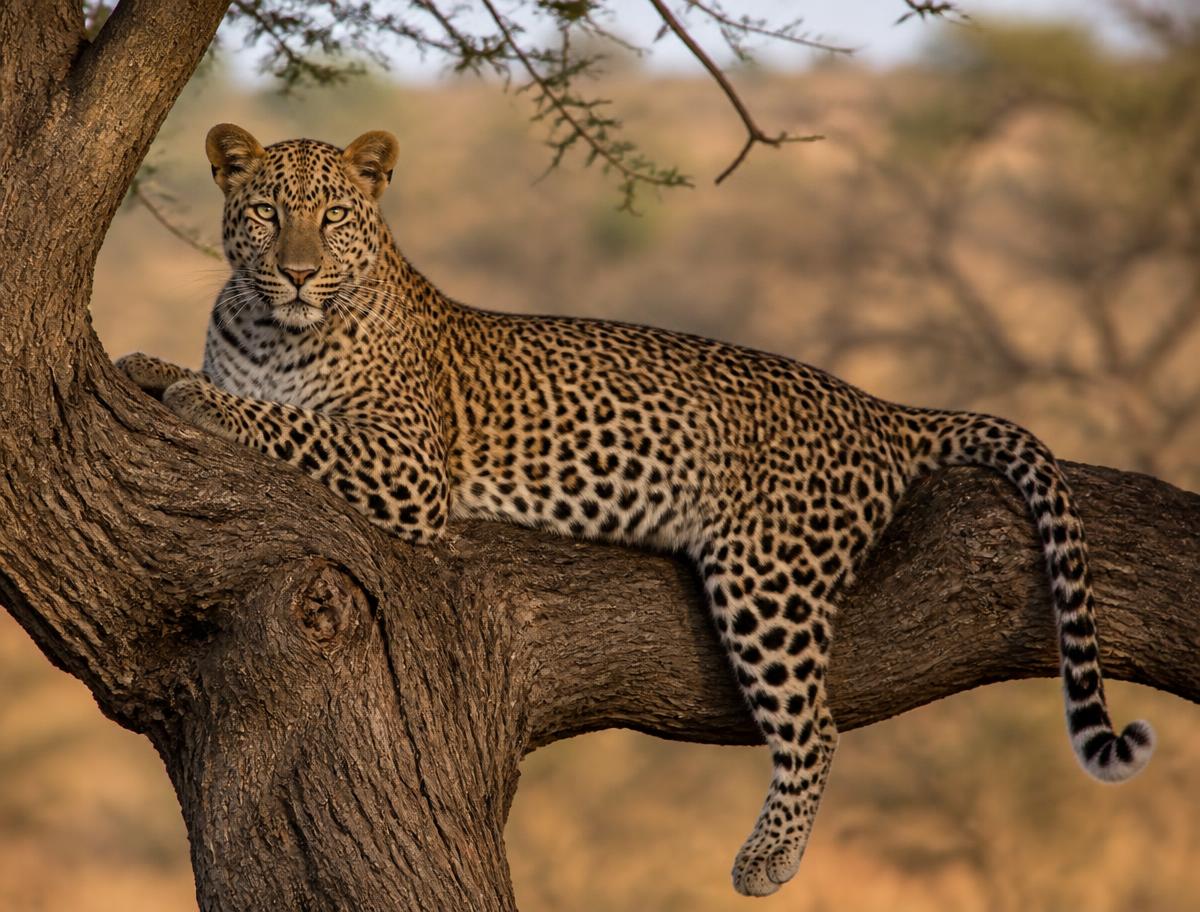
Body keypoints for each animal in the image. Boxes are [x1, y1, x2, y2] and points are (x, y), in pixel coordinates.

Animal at [118, 123, 1155, 898]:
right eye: (266, 212)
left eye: (333, 216)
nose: (296, 272)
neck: (269, 327)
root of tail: (875, 406)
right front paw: (149, 364)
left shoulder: (408, 464)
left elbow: (286, 423)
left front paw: (197, 398)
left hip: (767, 578)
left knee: (813, 727)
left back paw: (766, 859)